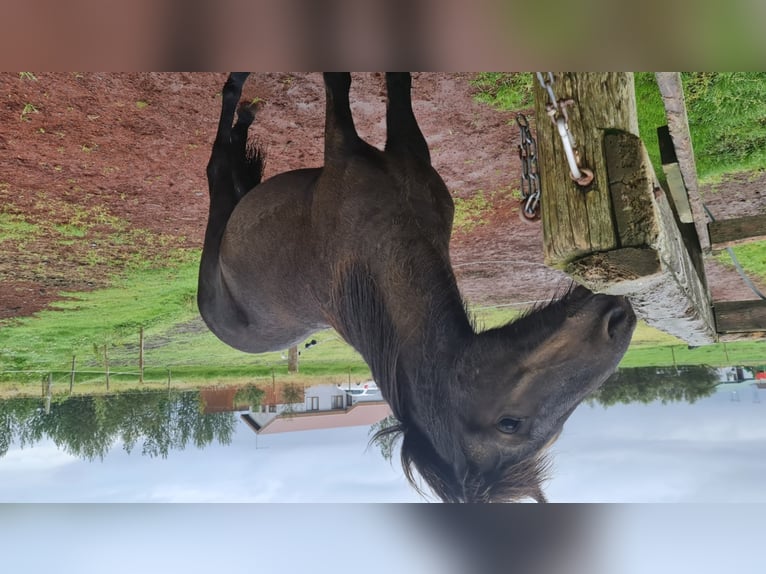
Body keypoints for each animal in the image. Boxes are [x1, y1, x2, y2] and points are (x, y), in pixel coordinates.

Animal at [198, 72, 636, 502]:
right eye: (510, 424)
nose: (621, 319)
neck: (385, 245)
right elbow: (366, 82)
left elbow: (375, 84)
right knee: (217, 165)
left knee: (227, 168)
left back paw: (241, 114)